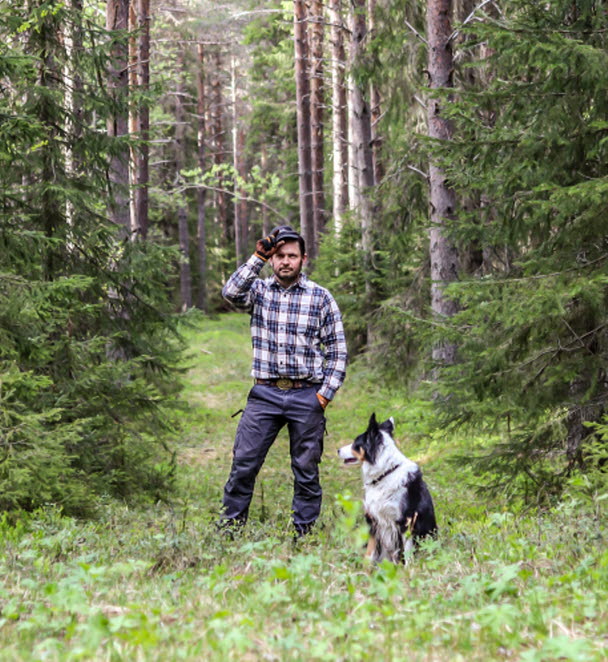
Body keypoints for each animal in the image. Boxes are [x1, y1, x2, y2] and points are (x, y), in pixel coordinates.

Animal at [338, 416, 436, 564]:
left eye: (356, 444)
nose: (338, 450)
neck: (385, 473)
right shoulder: (374, 521)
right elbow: (369, 553)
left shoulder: (405, 521)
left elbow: (407, 552)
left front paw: (408, 569)